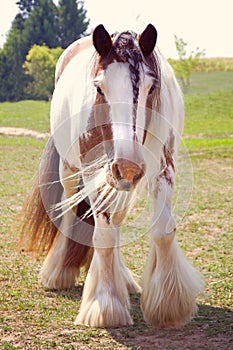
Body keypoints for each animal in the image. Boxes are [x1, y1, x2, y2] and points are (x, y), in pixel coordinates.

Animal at [19, 23, 203, 328]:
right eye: (99, 88)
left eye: (151, 87)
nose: (127, 166)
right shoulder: (94, 171)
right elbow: (102, 237)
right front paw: (105, 305)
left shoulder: (163, 166)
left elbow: (163, 229)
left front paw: (169, 305)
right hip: (72, 171)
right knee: (72, 212)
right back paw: (58, 272)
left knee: (115, 222)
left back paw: (124, 280)